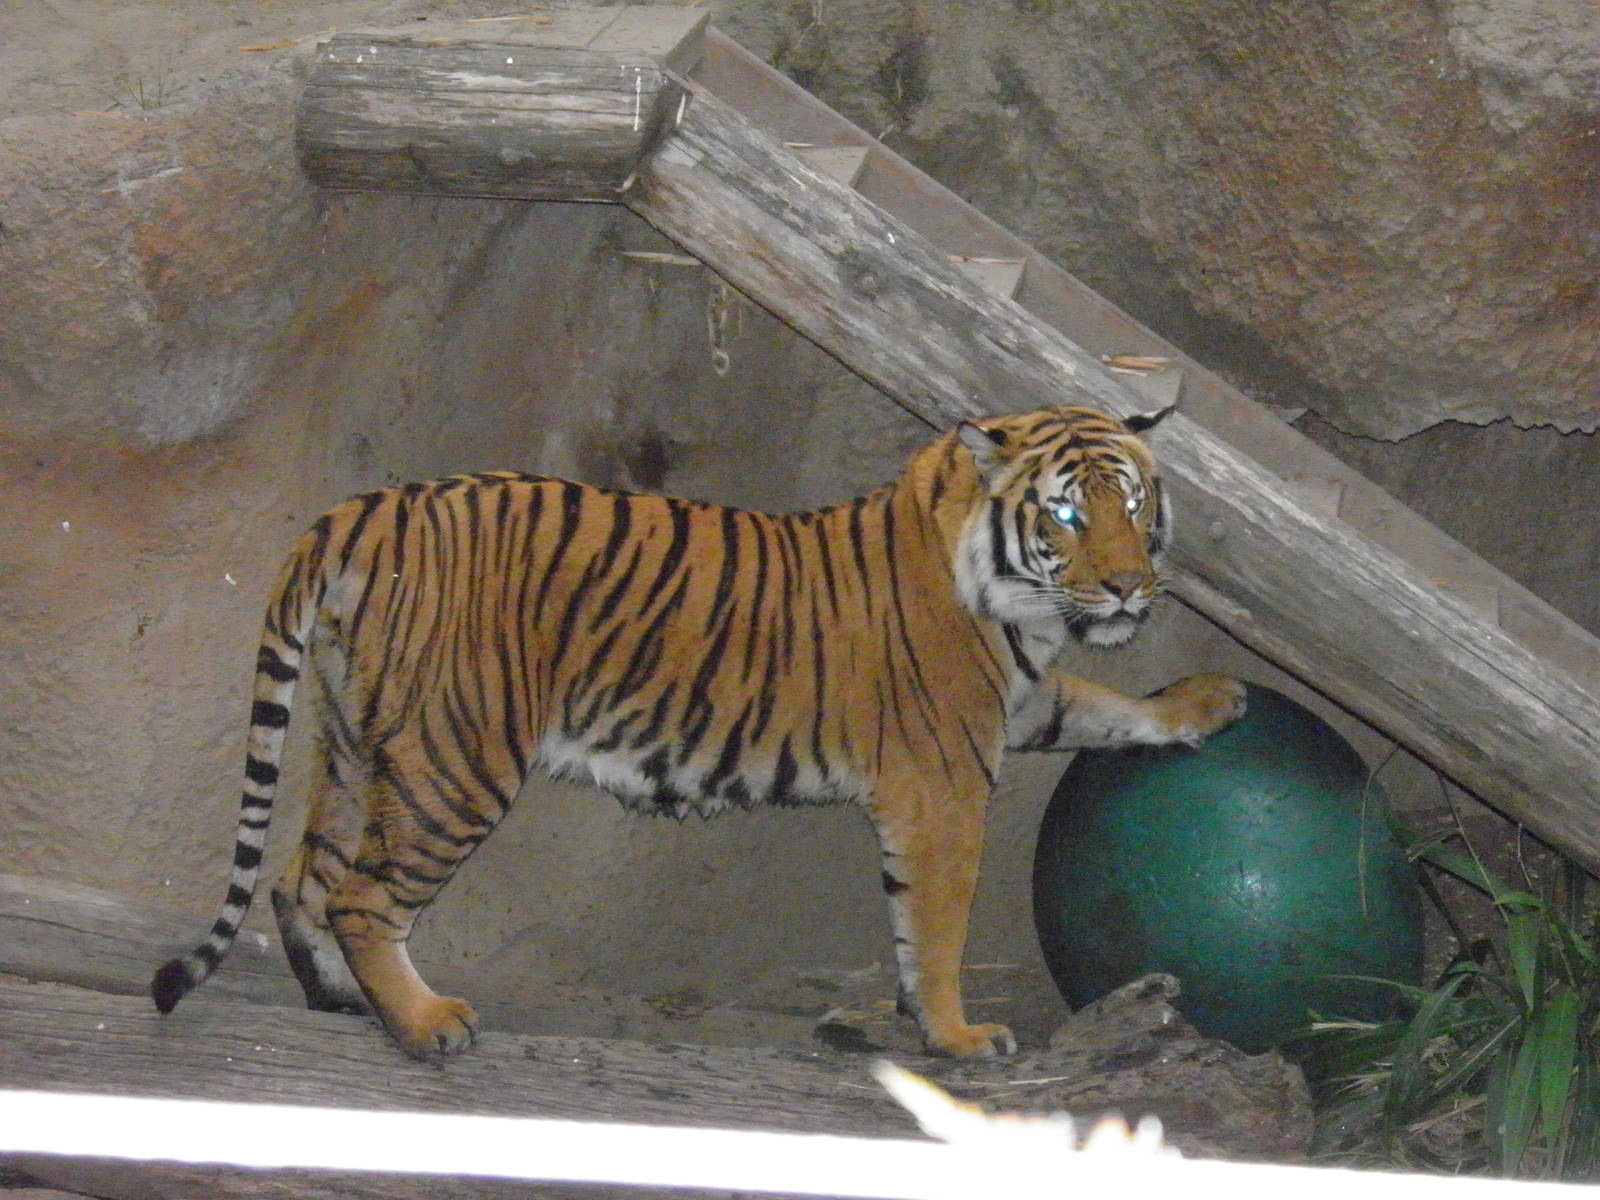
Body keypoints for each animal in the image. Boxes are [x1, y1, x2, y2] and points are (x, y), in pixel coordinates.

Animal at [151, 403, 1245, 1060]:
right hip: (456, 760)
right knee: (365, 896)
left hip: (354, 741)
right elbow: (936, 925)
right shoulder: (944, 780)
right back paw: (424, 1022)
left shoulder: (1014, 707)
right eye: (1066, 514)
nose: (1128, 587)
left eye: (1134, 504)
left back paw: (344, 1000)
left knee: (304, 878)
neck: (1012, 603)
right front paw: (956, 1036)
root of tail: (368, 508)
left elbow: (1102, 705)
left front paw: (1207, 702)